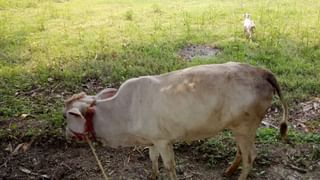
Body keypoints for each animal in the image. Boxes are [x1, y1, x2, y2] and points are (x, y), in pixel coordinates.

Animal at [63, 62, 288, 180]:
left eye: (66, 115)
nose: (65, 134)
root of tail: (261, 72)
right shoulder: (153, 139)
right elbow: (152, 158)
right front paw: (153, 176)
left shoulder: (163, 141)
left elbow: (169, 165)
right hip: (238, 128)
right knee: (241, 152)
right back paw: (229, 171)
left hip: (246, 127)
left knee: (250, 156)